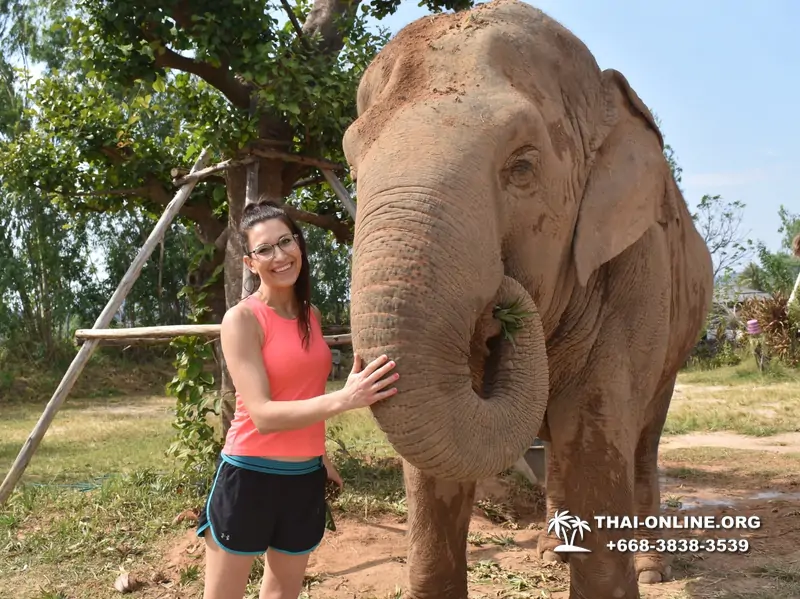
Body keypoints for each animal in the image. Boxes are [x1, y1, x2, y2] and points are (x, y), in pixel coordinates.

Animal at [342, 1, 714, 598]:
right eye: (352, 166)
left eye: (521, 165)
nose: (504, 296)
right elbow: (432, 470)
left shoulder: (639, 268)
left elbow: (594, 437)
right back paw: (550, 552)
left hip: (677, 346)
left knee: (640, 441)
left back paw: (652, 569)